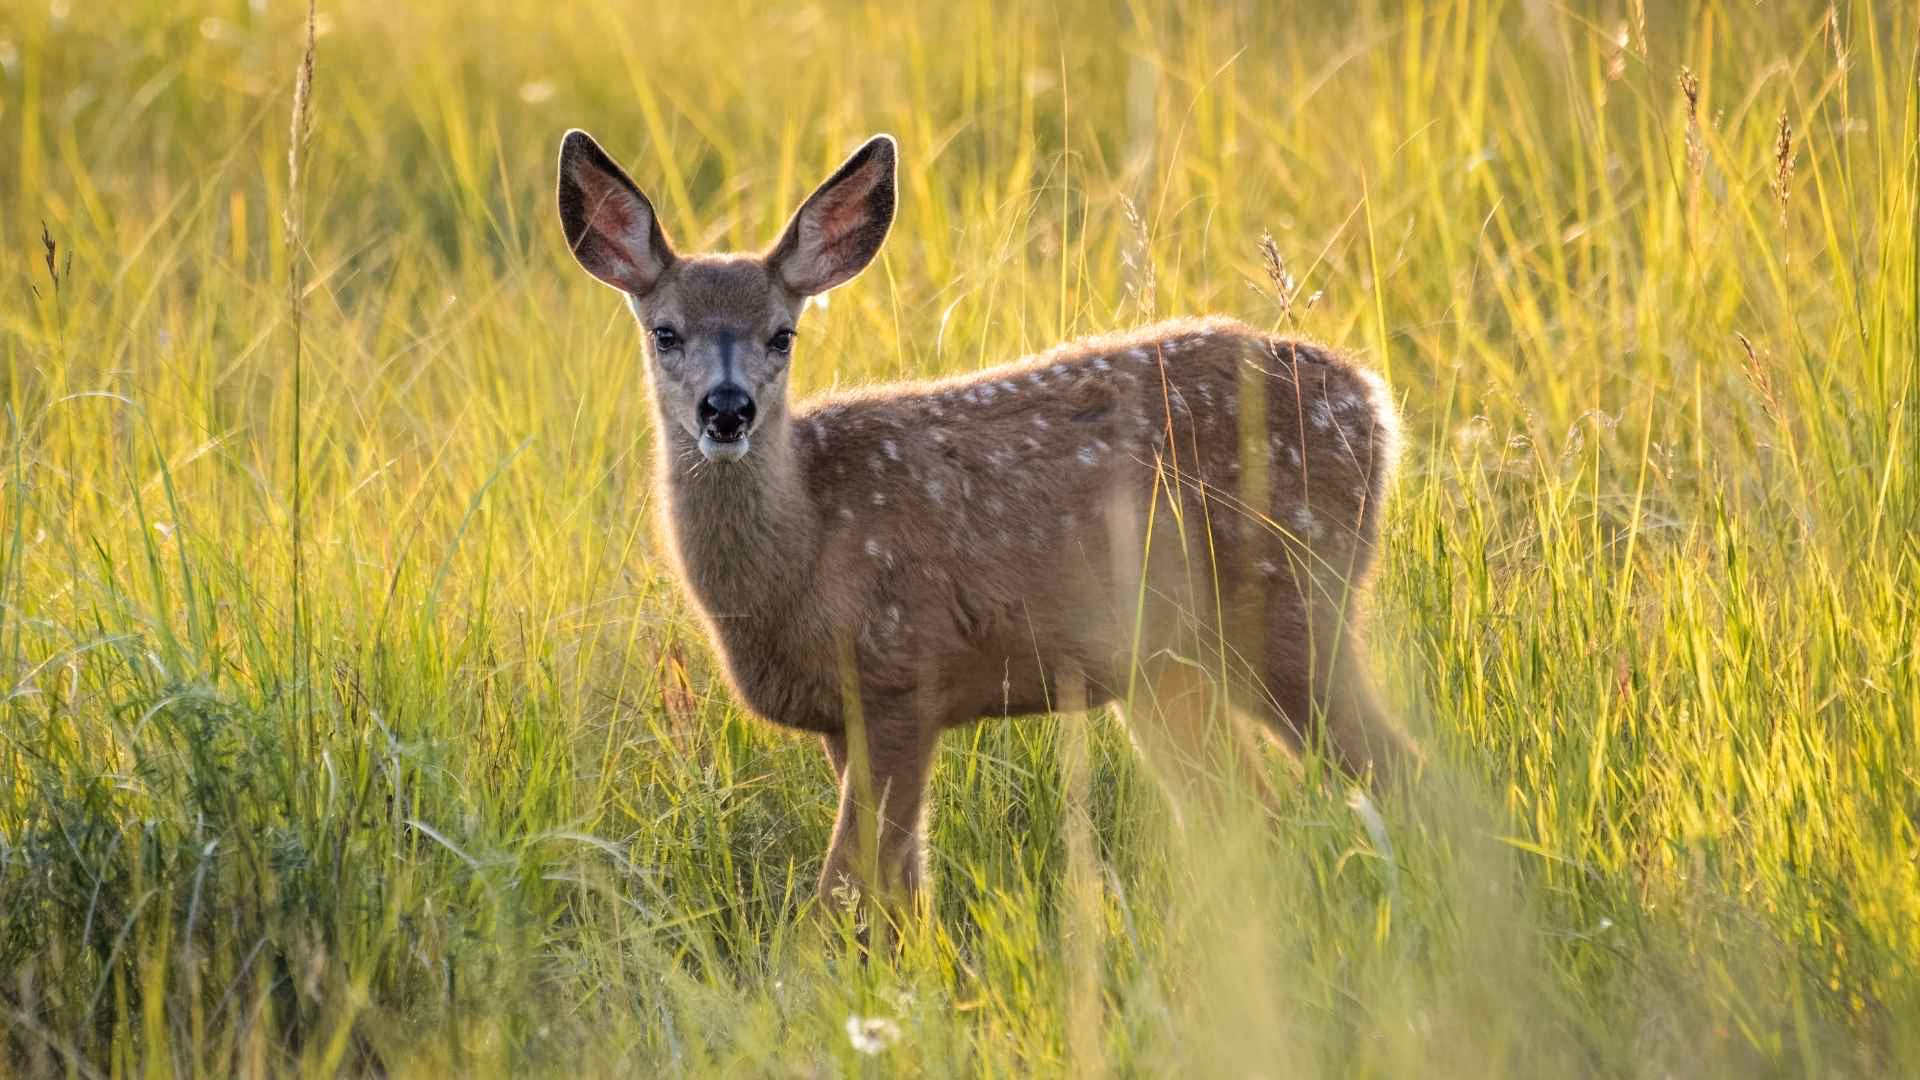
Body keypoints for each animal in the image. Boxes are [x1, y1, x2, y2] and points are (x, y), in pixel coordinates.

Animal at [555, 129, 1417, 911]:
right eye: (665, 332)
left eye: (782, 334)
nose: (727, 409)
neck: (803, 551)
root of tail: (1374, 403)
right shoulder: (845, 716)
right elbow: (901, 892)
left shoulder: (901, 674)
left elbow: (847, 890)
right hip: (1166, 665)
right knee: (1245, 811)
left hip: (1292, 597)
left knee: (1398, 769)